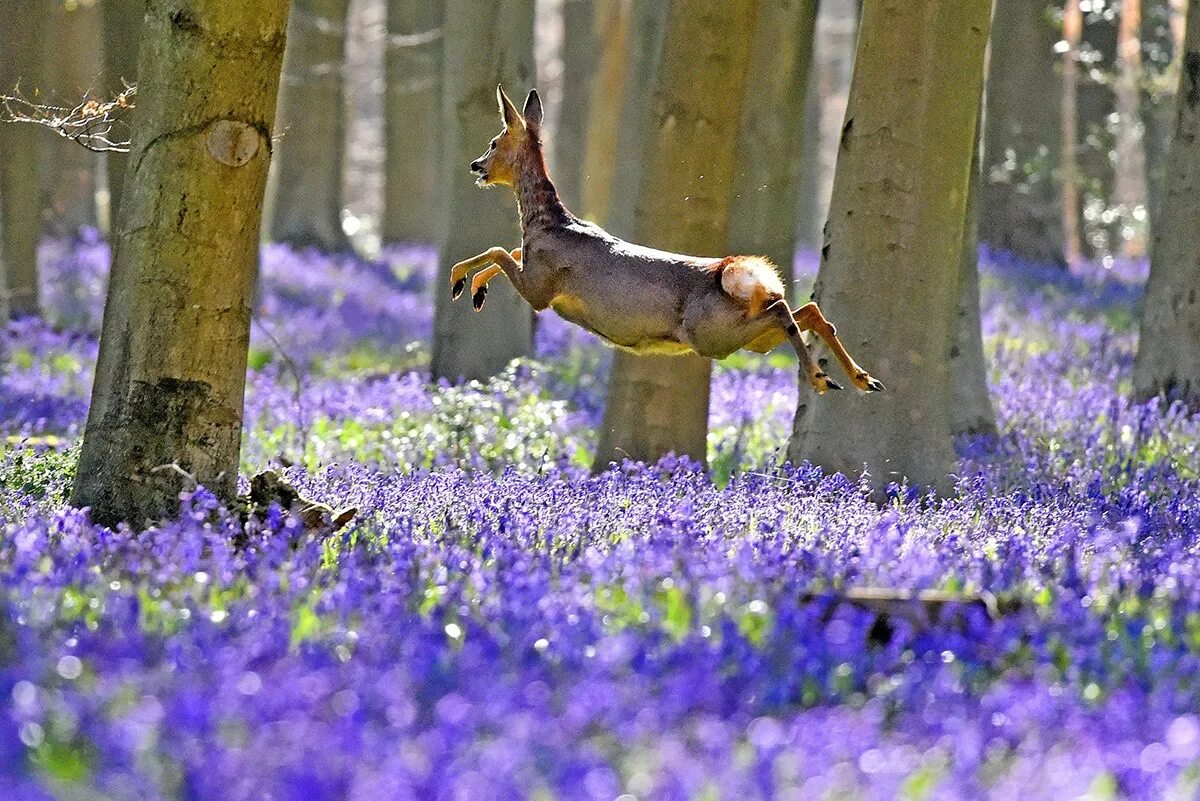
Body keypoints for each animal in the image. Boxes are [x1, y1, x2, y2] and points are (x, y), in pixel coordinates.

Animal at [451, 86, 883, 393]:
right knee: (806, 310)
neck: (547, 223)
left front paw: (461, 282)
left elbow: (500, 250)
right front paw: (473, 289)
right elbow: (507, 249)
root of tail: (739, 276)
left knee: (785, 311)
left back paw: (822, 379)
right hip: (746, 337)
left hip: (712, 334)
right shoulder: (536, 275)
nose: (474, 165)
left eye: (494, 142)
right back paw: (863, 379)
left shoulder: (541, 287)